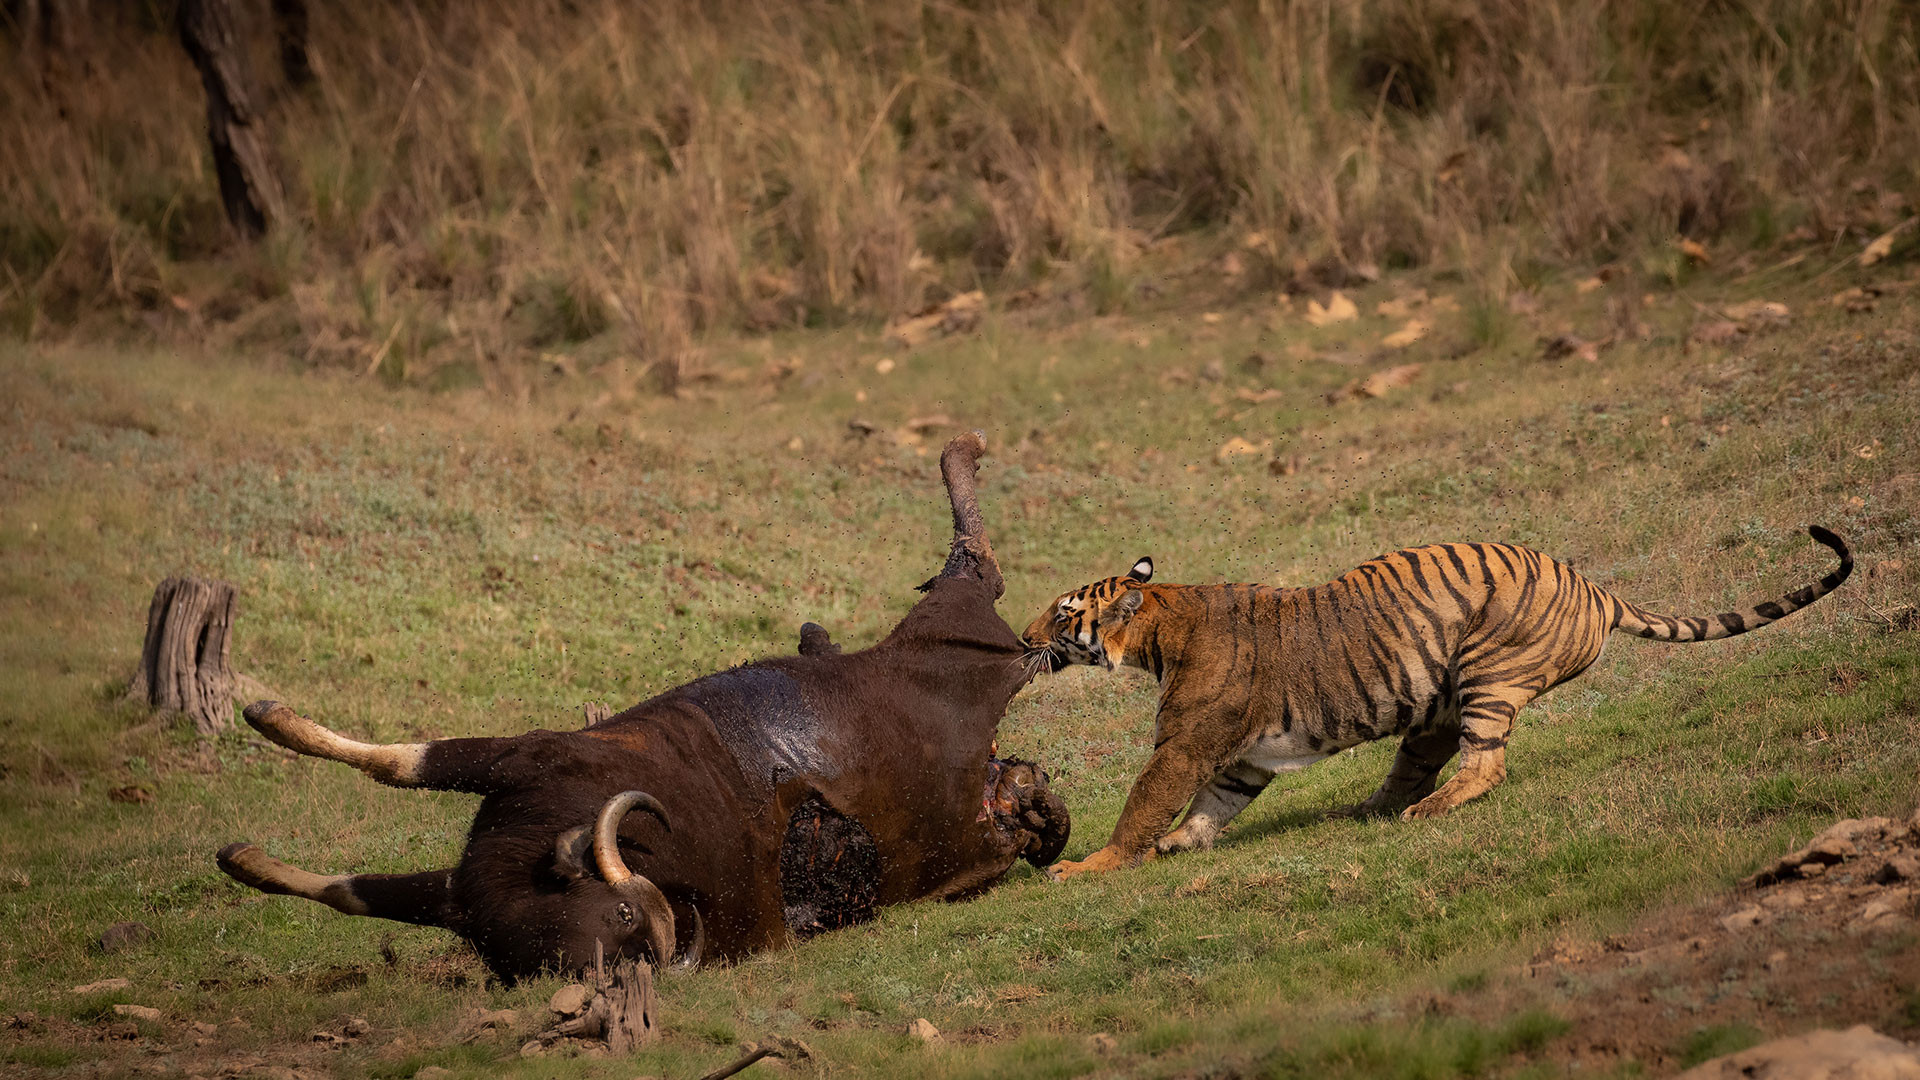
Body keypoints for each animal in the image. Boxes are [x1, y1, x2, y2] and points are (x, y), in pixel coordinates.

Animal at [1019, 526, 1852, 881]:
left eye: (1063, 615)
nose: (1022, 636)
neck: (1161, 621)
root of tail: (1595, 588)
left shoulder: (1186, 744)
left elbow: (1143, 804)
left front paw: (1094, 865)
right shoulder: (1240, 757)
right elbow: (1213, 805)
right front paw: (1180, 846)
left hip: (1488, 673)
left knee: (1485, 765)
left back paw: (1425, 811)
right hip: (1439, 700)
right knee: (1420, 760)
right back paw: (1366, 811)